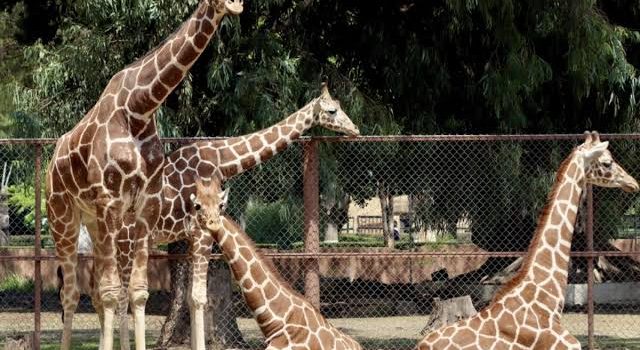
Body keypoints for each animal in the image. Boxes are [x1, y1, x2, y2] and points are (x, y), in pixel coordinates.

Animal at [45, 1, 245, 348]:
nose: (235, 5)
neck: (140, 108)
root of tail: (51, 160)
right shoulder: (110, 199)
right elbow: (112, 293)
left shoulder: (145, 204)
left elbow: (137, 292)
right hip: (62, 216)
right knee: (70, 294)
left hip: (93, 221)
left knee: (92, 291)